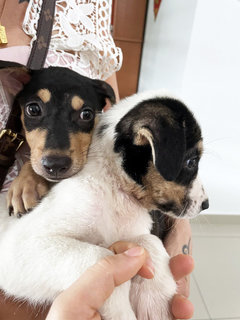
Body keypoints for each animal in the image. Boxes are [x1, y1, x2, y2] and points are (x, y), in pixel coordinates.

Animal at [0, 90, 208, 320]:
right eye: (191, 162)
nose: (206, 204)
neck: (116, 190)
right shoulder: (20, 245)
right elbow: (100, 255)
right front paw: (120, 311)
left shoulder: (133, 235)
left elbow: (149, 241)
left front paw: (157, 302)